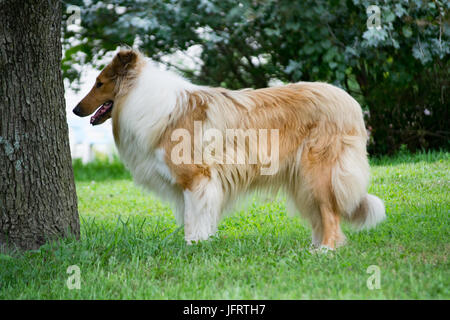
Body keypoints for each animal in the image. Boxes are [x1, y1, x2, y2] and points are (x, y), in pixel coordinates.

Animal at [73, 49, 384, 250]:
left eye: (99, 83)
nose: (75, 110)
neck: (140, 98)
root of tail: (350, 103)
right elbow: (195, 217)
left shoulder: (197, 179)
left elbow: (194, 217)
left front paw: (193, 246)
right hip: (303, 181)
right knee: (320, 214)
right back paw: (316, 247)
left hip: (318, 173)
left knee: (330, 214)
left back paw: (327, 250)